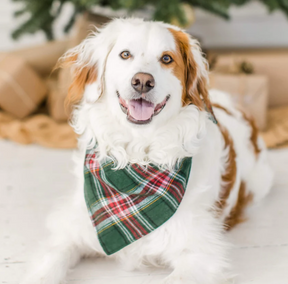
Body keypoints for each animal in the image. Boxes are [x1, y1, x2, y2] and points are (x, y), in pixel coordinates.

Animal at [21, 18, 274, 284]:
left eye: (167, 58)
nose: (142, 81)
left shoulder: (200, 254)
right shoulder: (70, 231)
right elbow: (47, 264)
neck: (137, 157)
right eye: (125, 54)